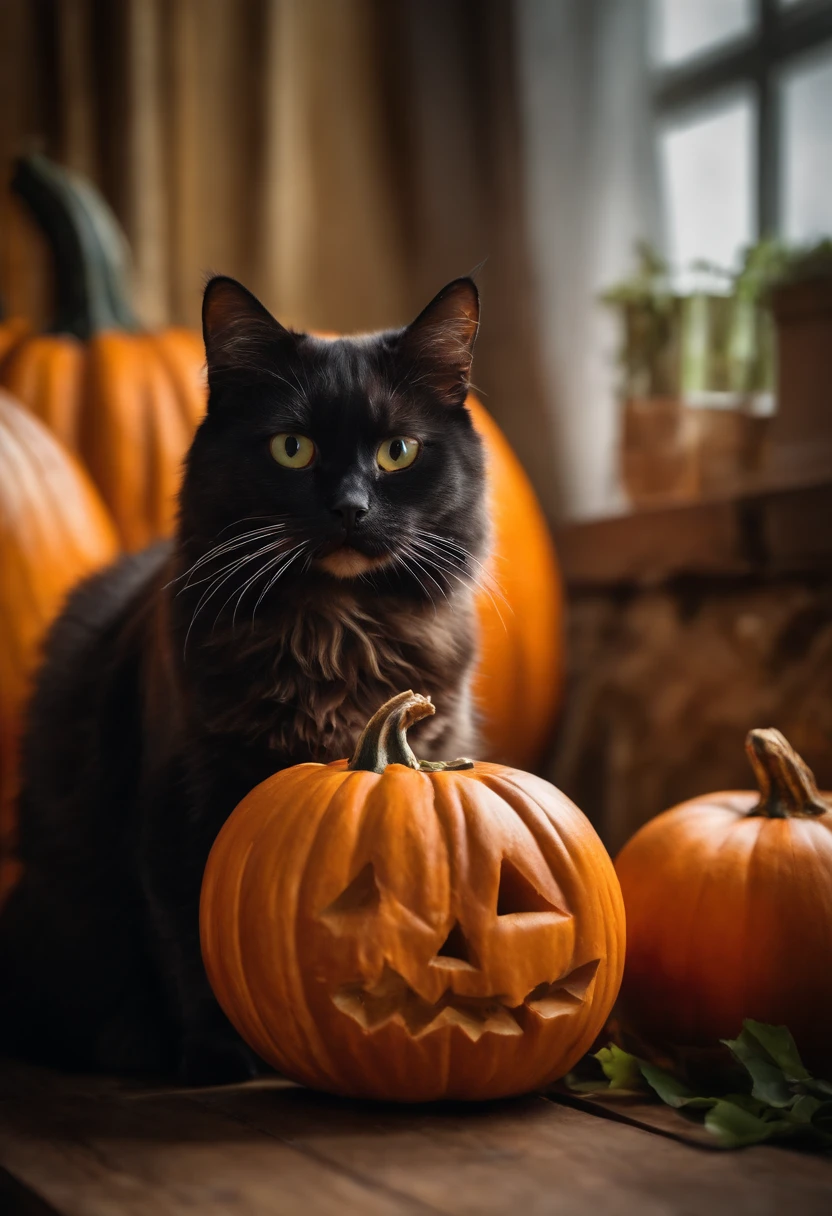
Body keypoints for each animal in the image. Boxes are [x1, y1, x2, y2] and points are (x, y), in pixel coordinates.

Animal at [0, 273, 486, 1084]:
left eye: (397, 451)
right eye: (293, 448)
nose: (350, 507)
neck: (335, 635)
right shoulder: (181, 804)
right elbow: (195, 943)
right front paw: (221, 1059)